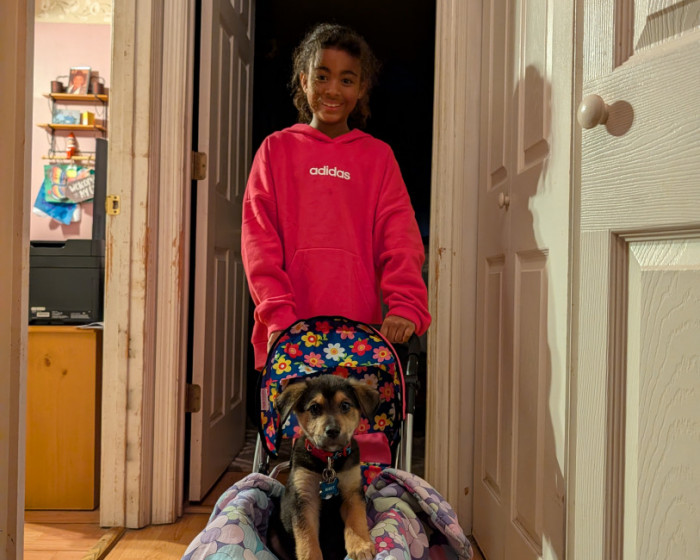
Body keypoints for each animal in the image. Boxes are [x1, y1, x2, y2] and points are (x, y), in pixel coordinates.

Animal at [269, 374, 379, 560]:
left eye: (345, 405)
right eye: (314, 408)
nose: (332, 431)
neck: (328, 460)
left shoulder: (352, 492)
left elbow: (356, 520)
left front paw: (360, 546)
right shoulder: (304, 499)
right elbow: (307, 537)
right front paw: (311, 557)